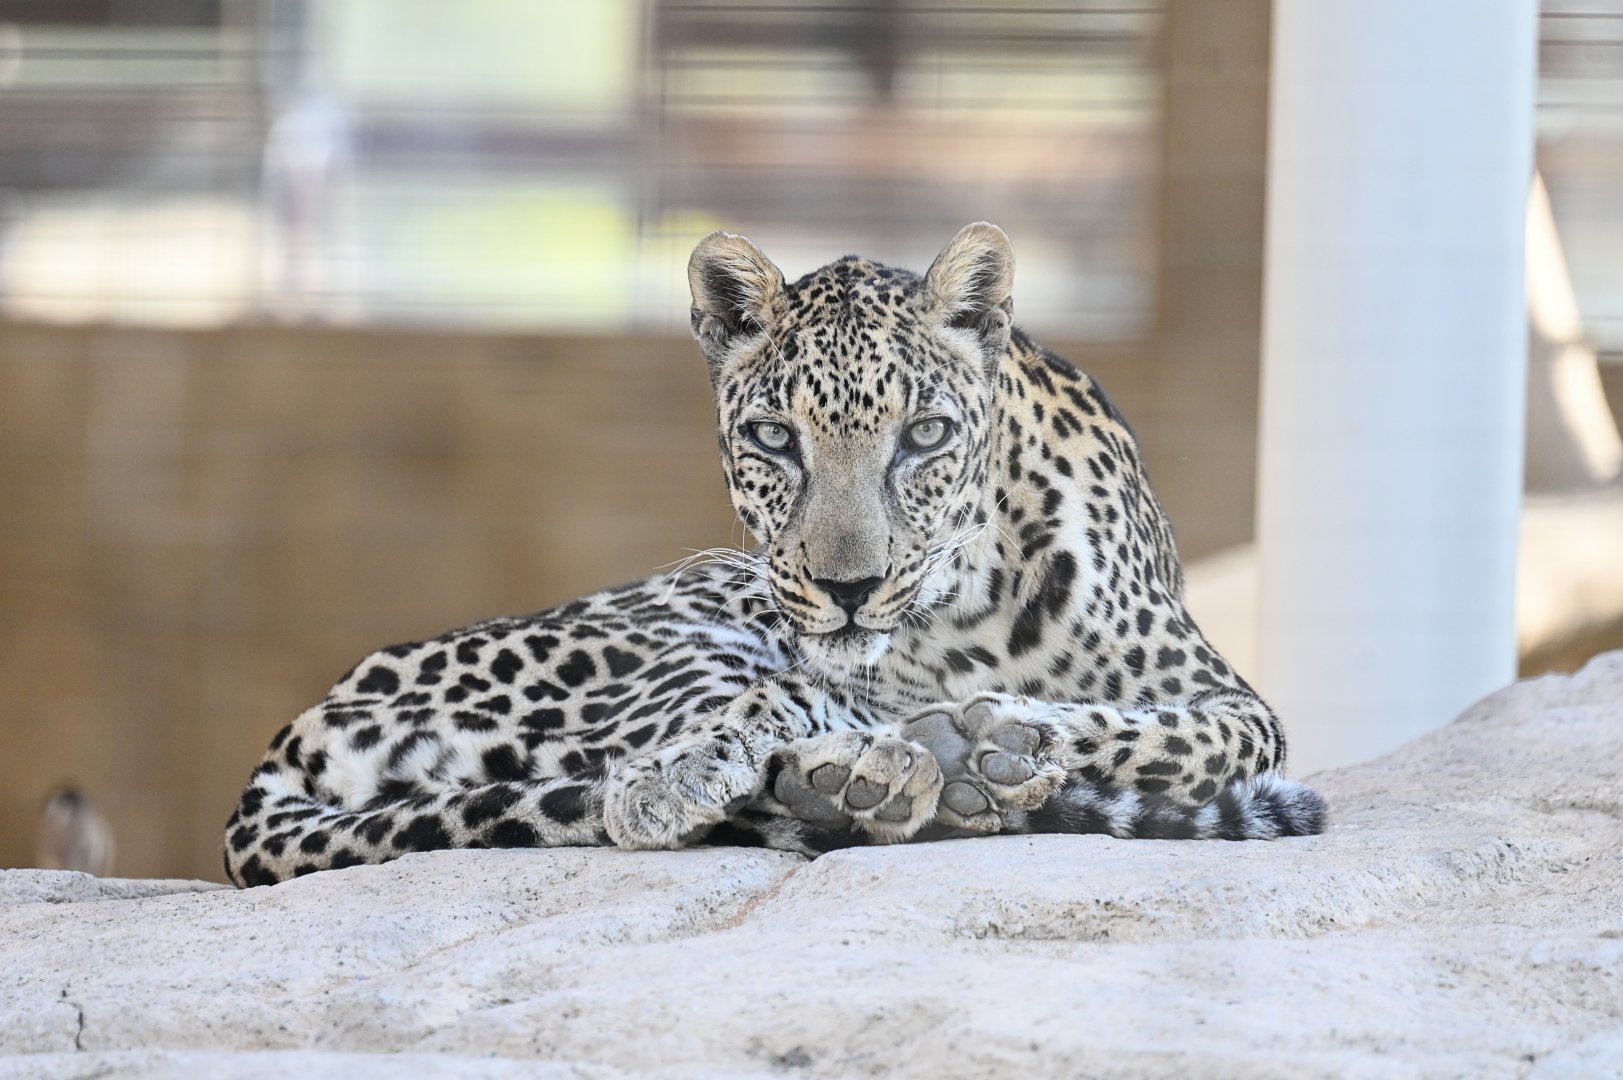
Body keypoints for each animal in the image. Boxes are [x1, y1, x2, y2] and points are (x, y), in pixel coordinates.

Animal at [222, 222, 1327, 887]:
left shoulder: (1235, 701)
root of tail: (285, 746)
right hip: (672, 625)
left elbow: (1175, 736)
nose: (849, 589)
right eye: (773, 438)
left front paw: (1005, 733)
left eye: (924, 435)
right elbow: (789, 699)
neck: (969, 604)